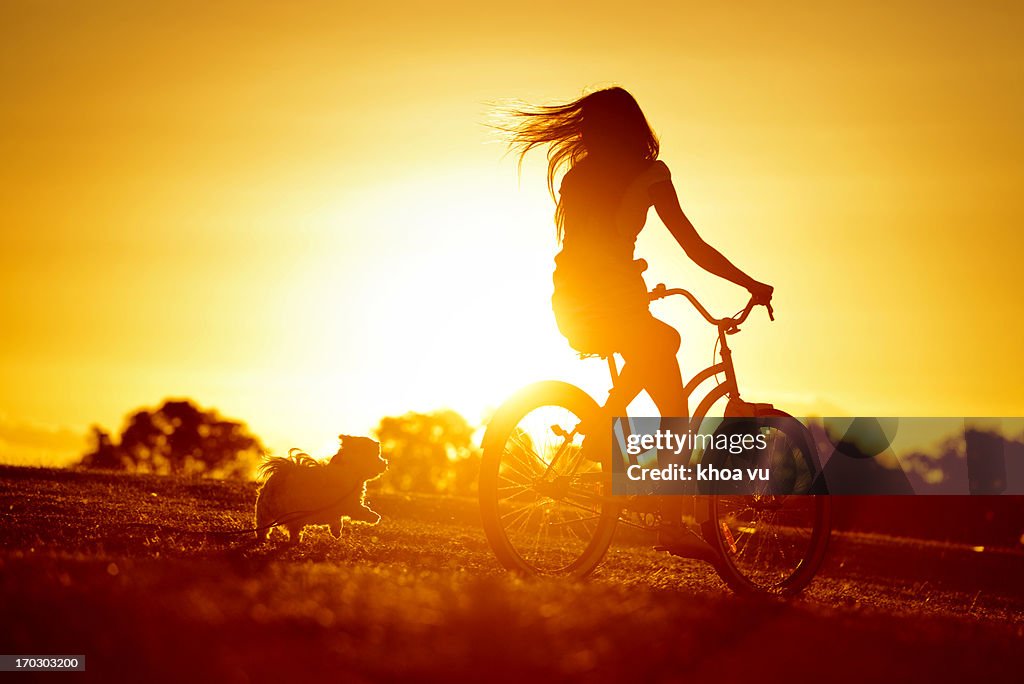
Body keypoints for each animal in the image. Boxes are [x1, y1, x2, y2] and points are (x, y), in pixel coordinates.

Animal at [253, 432, 385, 544]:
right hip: (292, 515)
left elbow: (337, 521)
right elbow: (361, 511)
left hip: (265, 513)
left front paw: (336, 531)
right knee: (292, 530)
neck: (349, 470)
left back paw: (263, 538)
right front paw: (374, 517)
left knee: (263, 527)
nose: (385, 464)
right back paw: (294, 540)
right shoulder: (350, 504)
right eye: (376, 455)